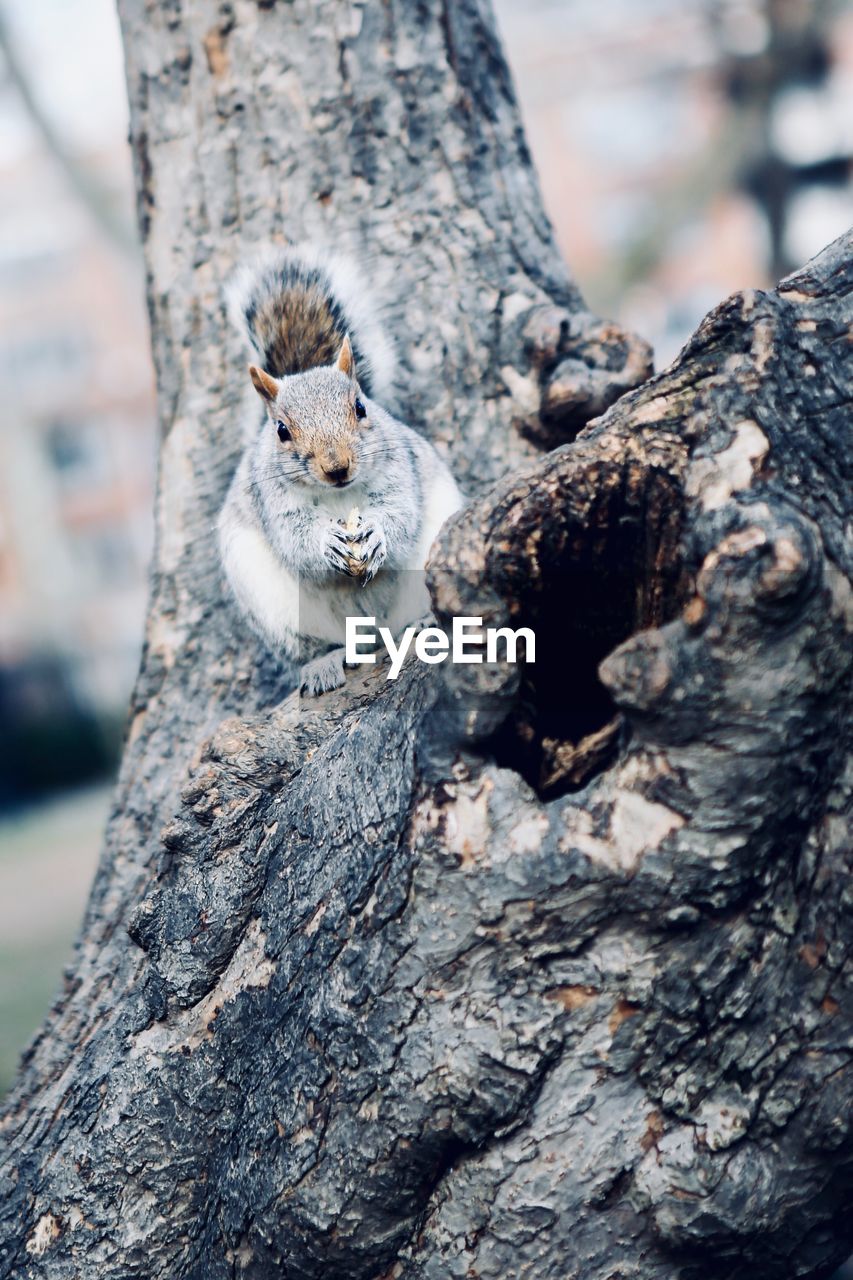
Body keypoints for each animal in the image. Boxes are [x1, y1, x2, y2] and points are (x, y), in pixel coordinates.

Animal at [216, 244, 461, 696]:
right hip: (280, 611)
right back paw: (323, 664)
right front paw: (325, 542)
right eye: (281, 431)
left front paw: (377, 533)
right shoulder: (272, 501)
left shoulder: (399, 471)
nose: (337, 467)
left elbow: (401, 515)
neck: (339, 496)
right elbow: (294, 539)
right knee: (318, 645)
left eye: (360, 407)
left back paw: (422, 623)